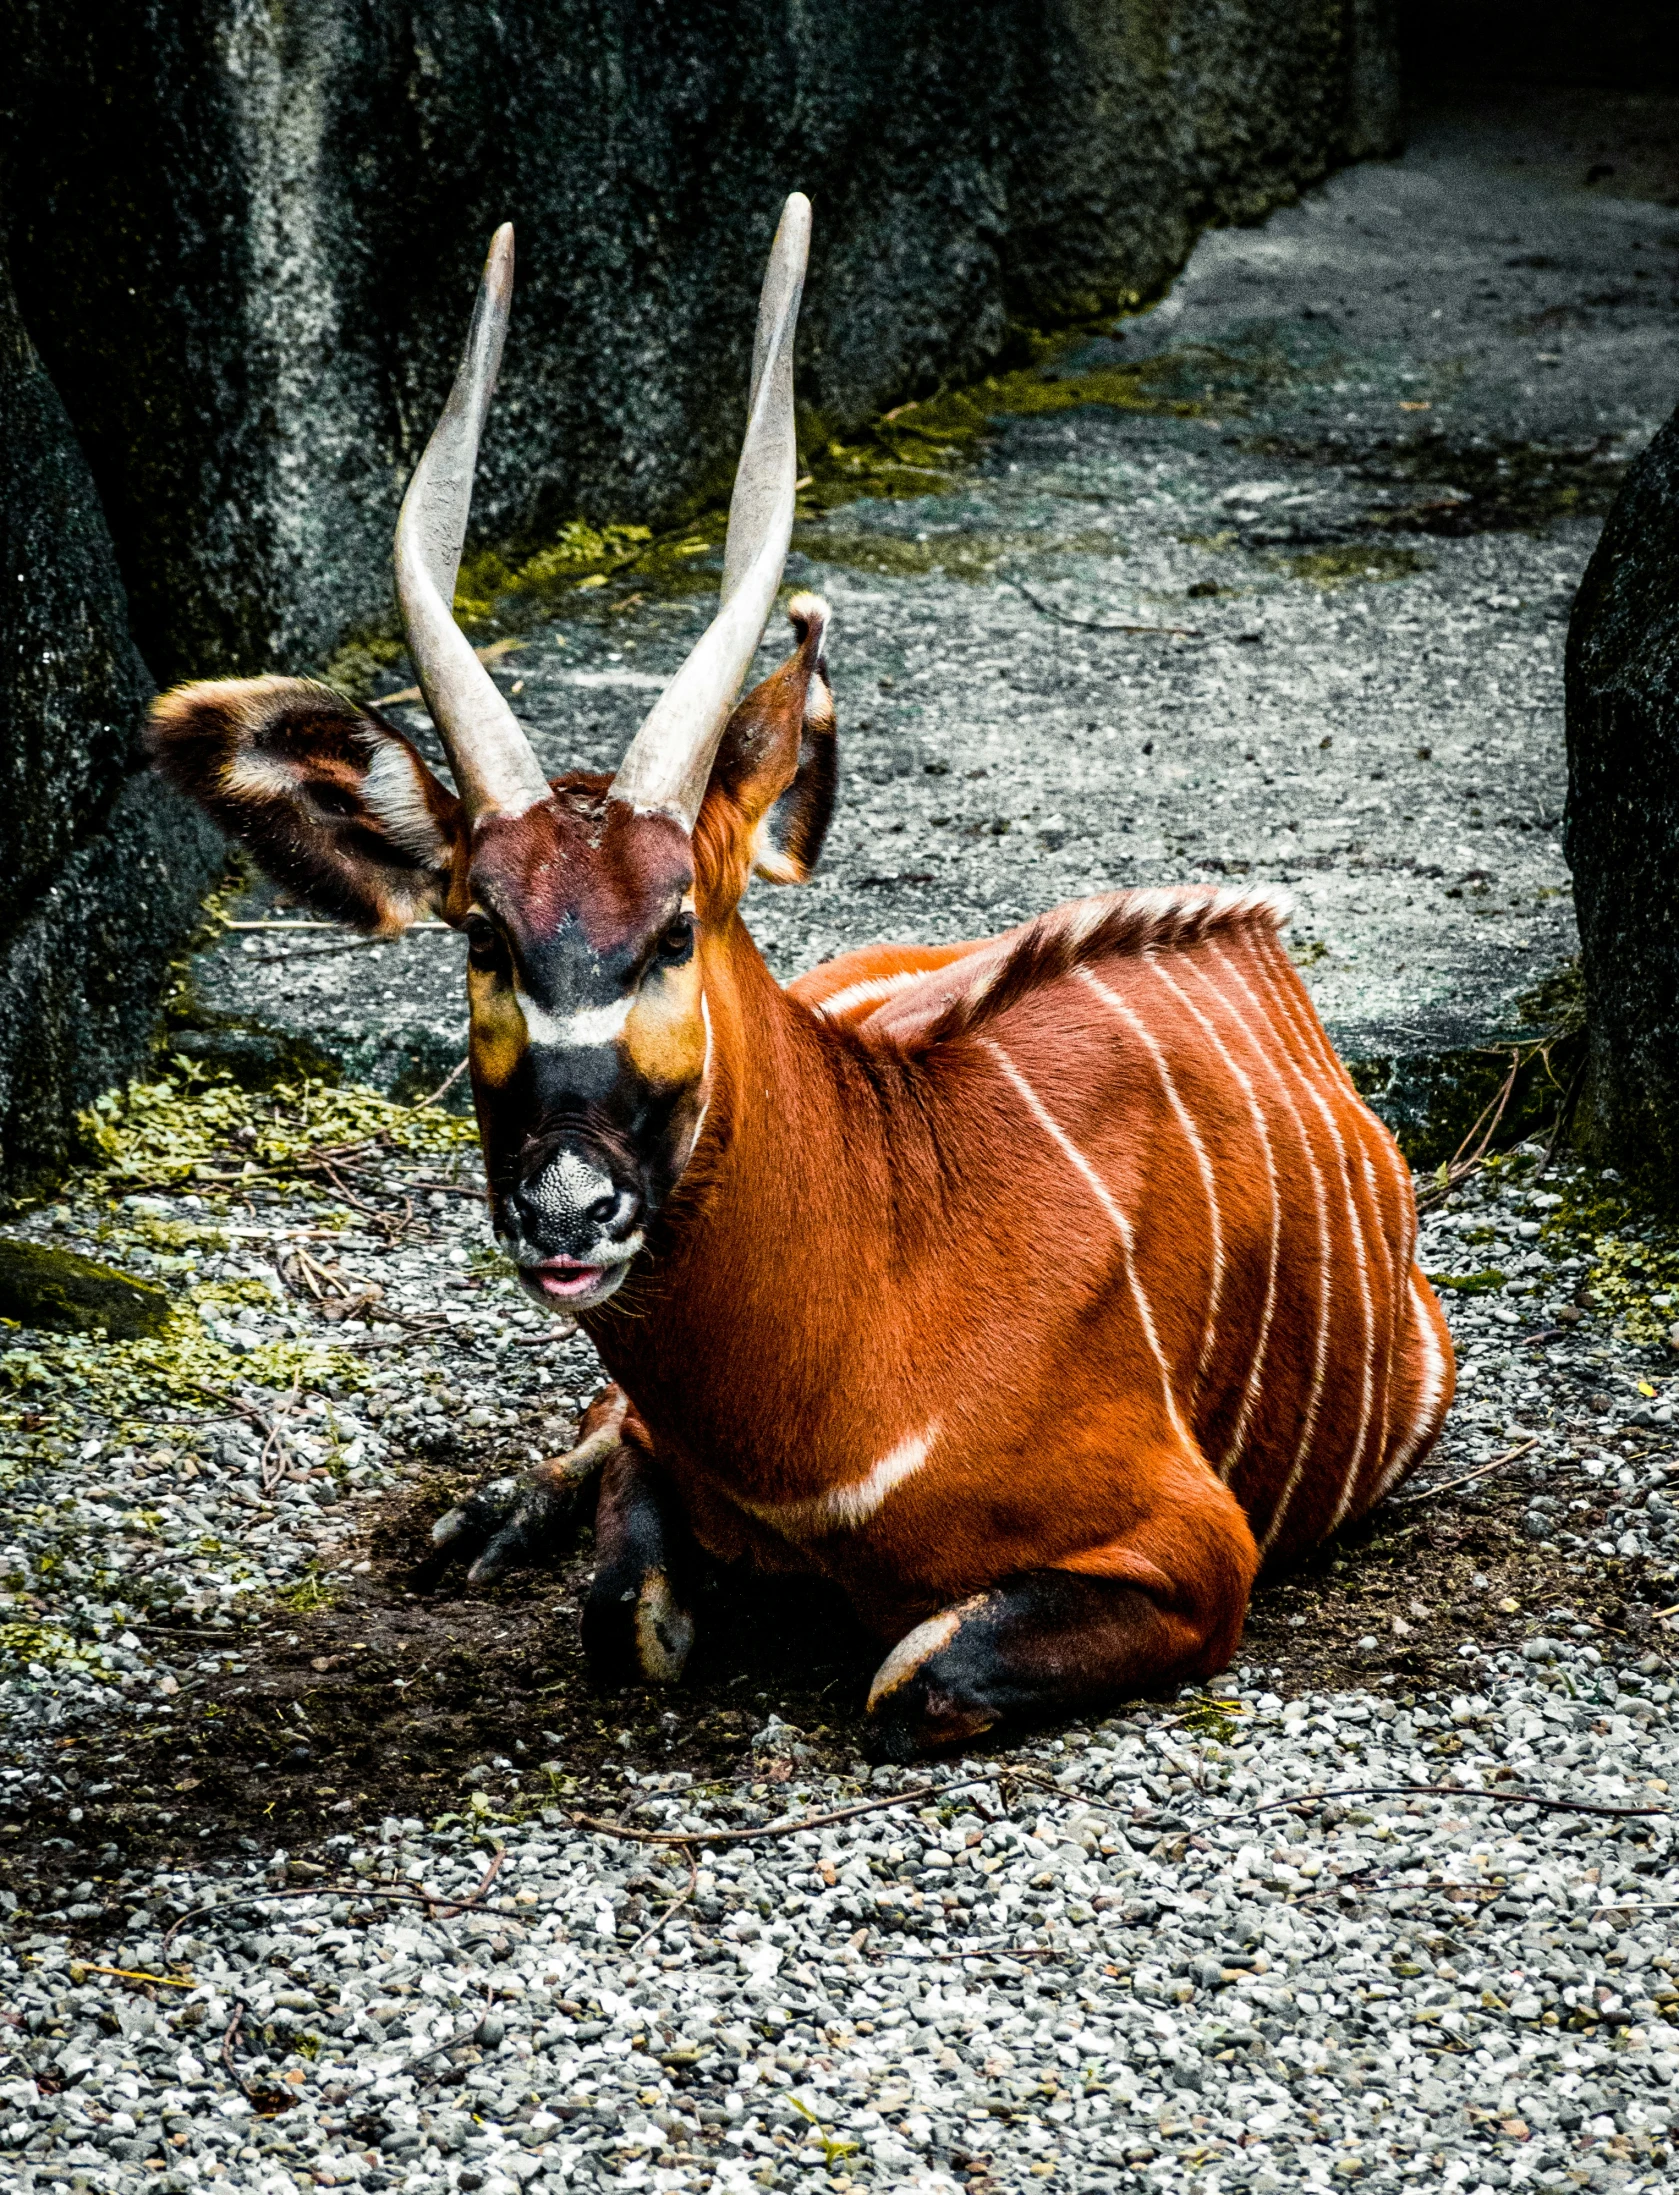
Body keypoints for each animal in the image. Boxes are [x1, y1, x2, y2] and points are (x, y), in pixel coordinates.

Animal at [150, 197, 1448, 1756]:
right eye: (484, 934)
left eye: (675, 928)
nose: (567, 1207)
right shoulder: (663, 1465)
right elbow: (623, 1609)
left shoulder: (1193, 1547)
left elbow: (907, 1674)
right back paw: (484, 1517)